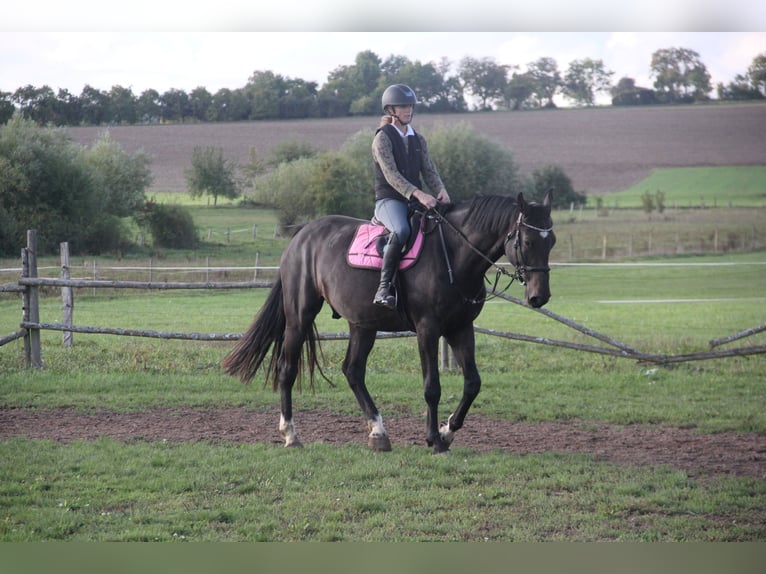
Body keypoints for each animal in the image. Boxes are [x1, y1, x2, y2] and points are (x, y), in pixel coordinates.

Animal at [222, 190, 555, 453]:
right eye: (527, 240)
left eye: (551, 241)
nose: (540, 296)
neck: (453, 255)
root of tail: (303, 236)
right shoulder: (427, 330)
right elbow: (432, 387)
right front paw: (434, 439)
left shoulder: (461, 328)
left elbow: (473, 383)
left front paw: (448, 431)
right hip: (299, 315)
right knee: (287, 368)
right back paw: (291, 435)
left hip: (363, 324)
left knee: (353, 371)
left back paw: (378, 432)